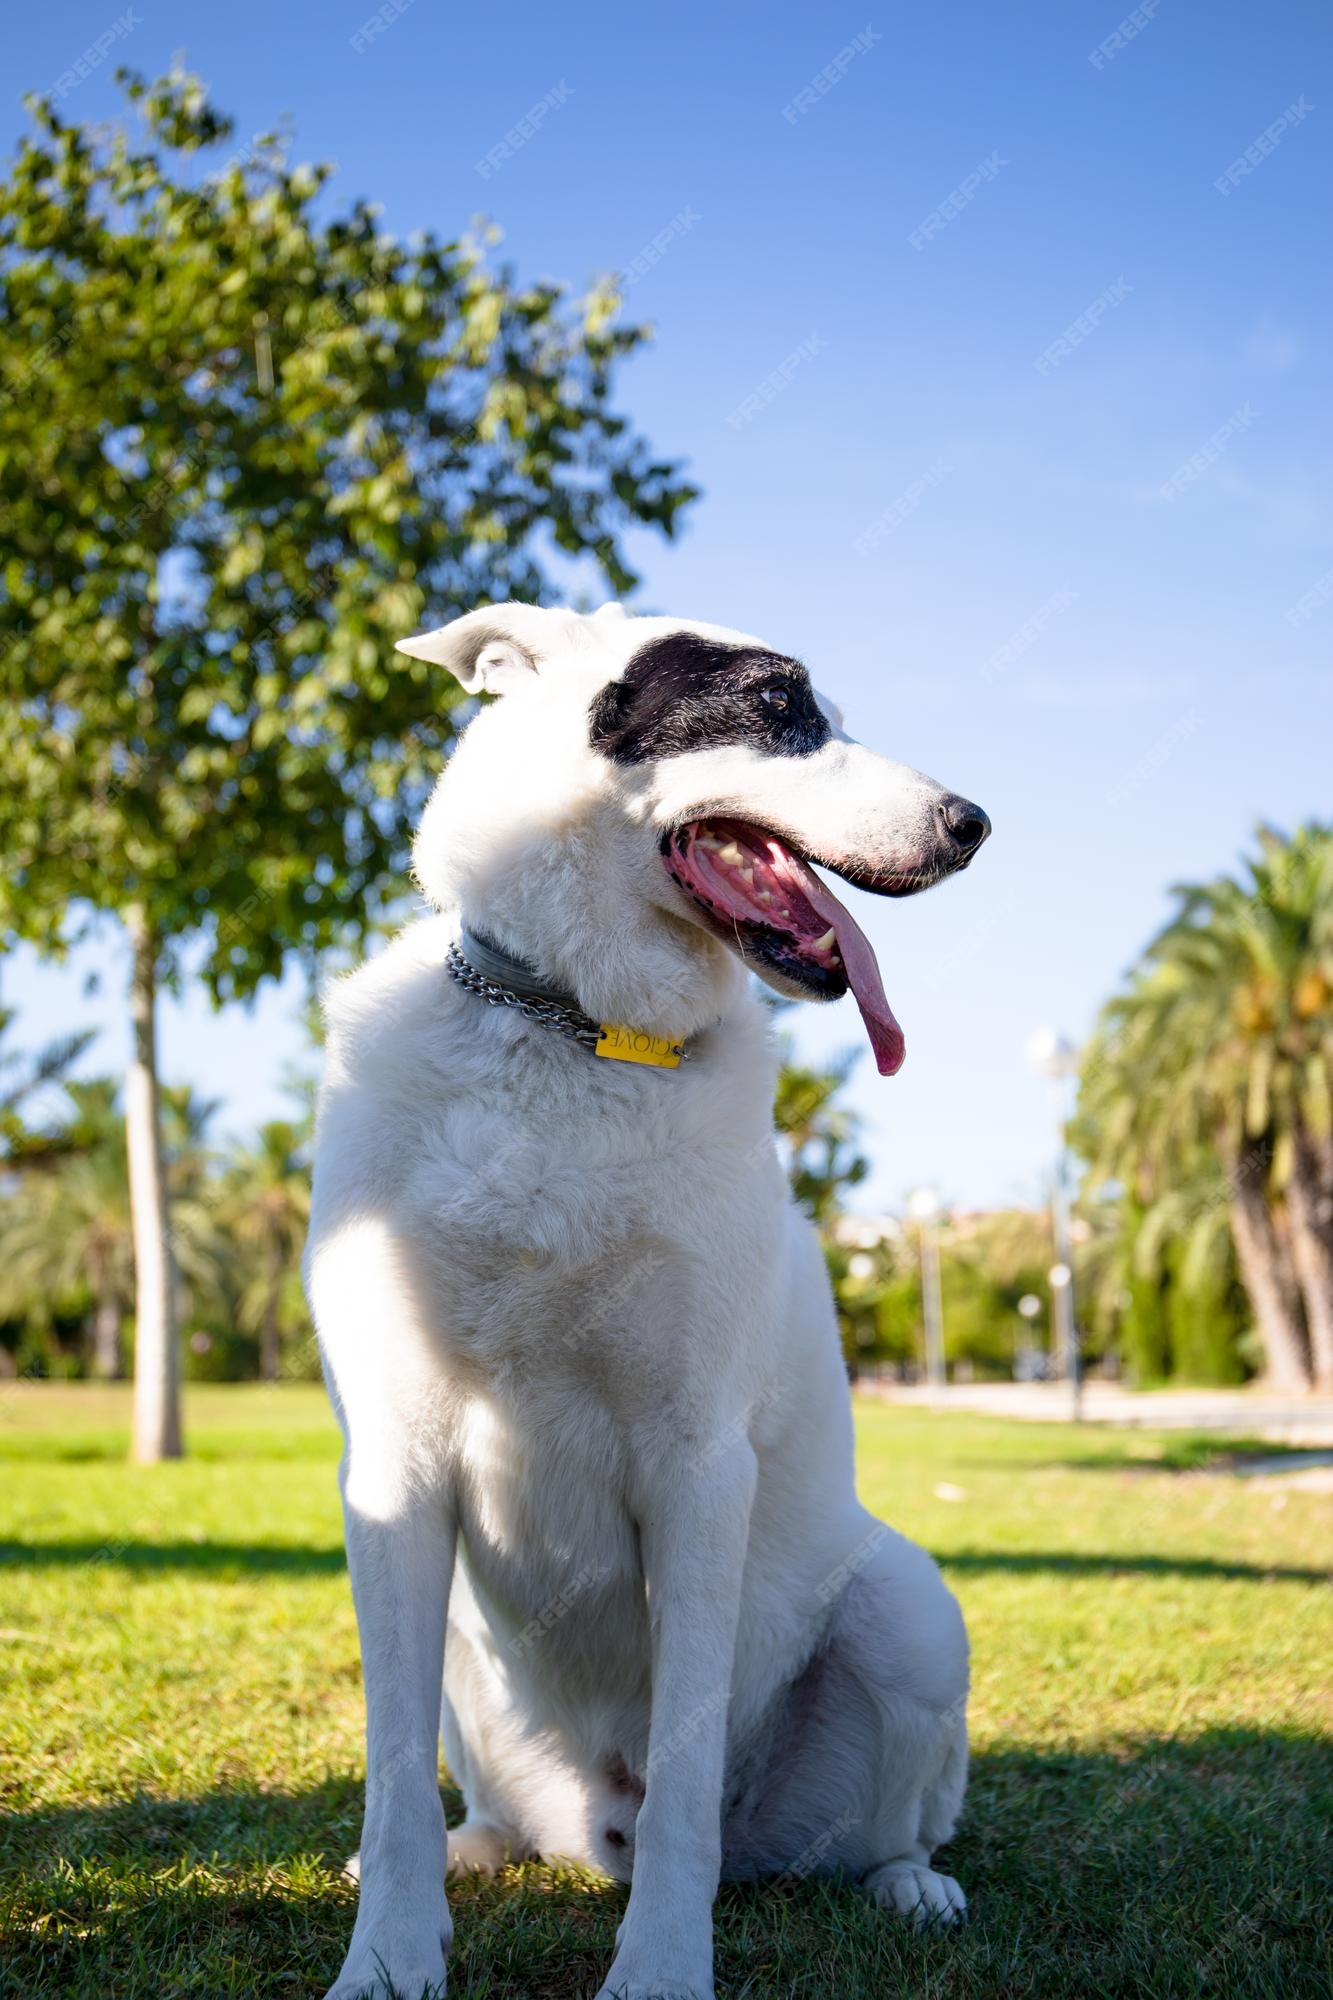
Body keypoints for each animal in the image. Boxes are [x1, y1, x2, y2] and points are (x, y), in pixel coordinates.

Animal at [304, 600, 984, 1992]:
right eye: (778, 706)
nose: (972, 822)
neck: (567, 1028)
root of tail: (592, 1825)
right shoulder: (392, 1469)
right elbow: (389, 1774)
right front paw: (388, 1955)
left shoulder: (695, 1466)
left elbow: (682, 1774)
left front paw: (662, 1963)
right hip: (465, 1653)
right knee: (476, 1805)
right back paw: (472, 1851)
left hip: (909, 1610)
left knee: (872, 1823)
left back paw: (909, 1883)